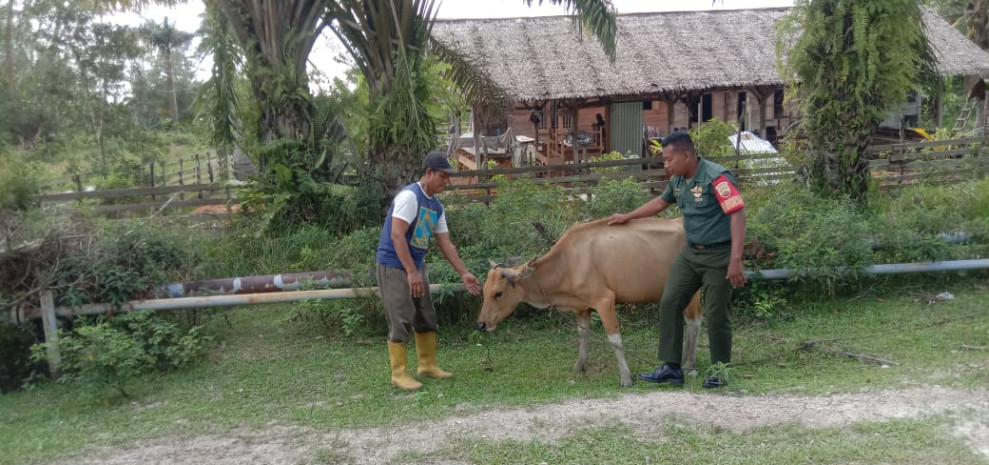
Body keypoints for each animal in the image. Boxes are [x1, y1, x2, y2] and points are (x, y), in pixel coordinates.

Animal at [476, 217, 704, 384]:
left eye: (498, 293)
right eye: (484, 291)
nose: (481, 324)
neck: (567, 263)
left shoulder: (605, 301)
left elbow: (615, 339)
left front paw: (626, 378)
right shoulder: (581, 307)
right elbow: (582, 335)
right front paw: (579, 365)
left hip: (691, 289)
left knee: (694, 322)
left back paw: (689, 365)